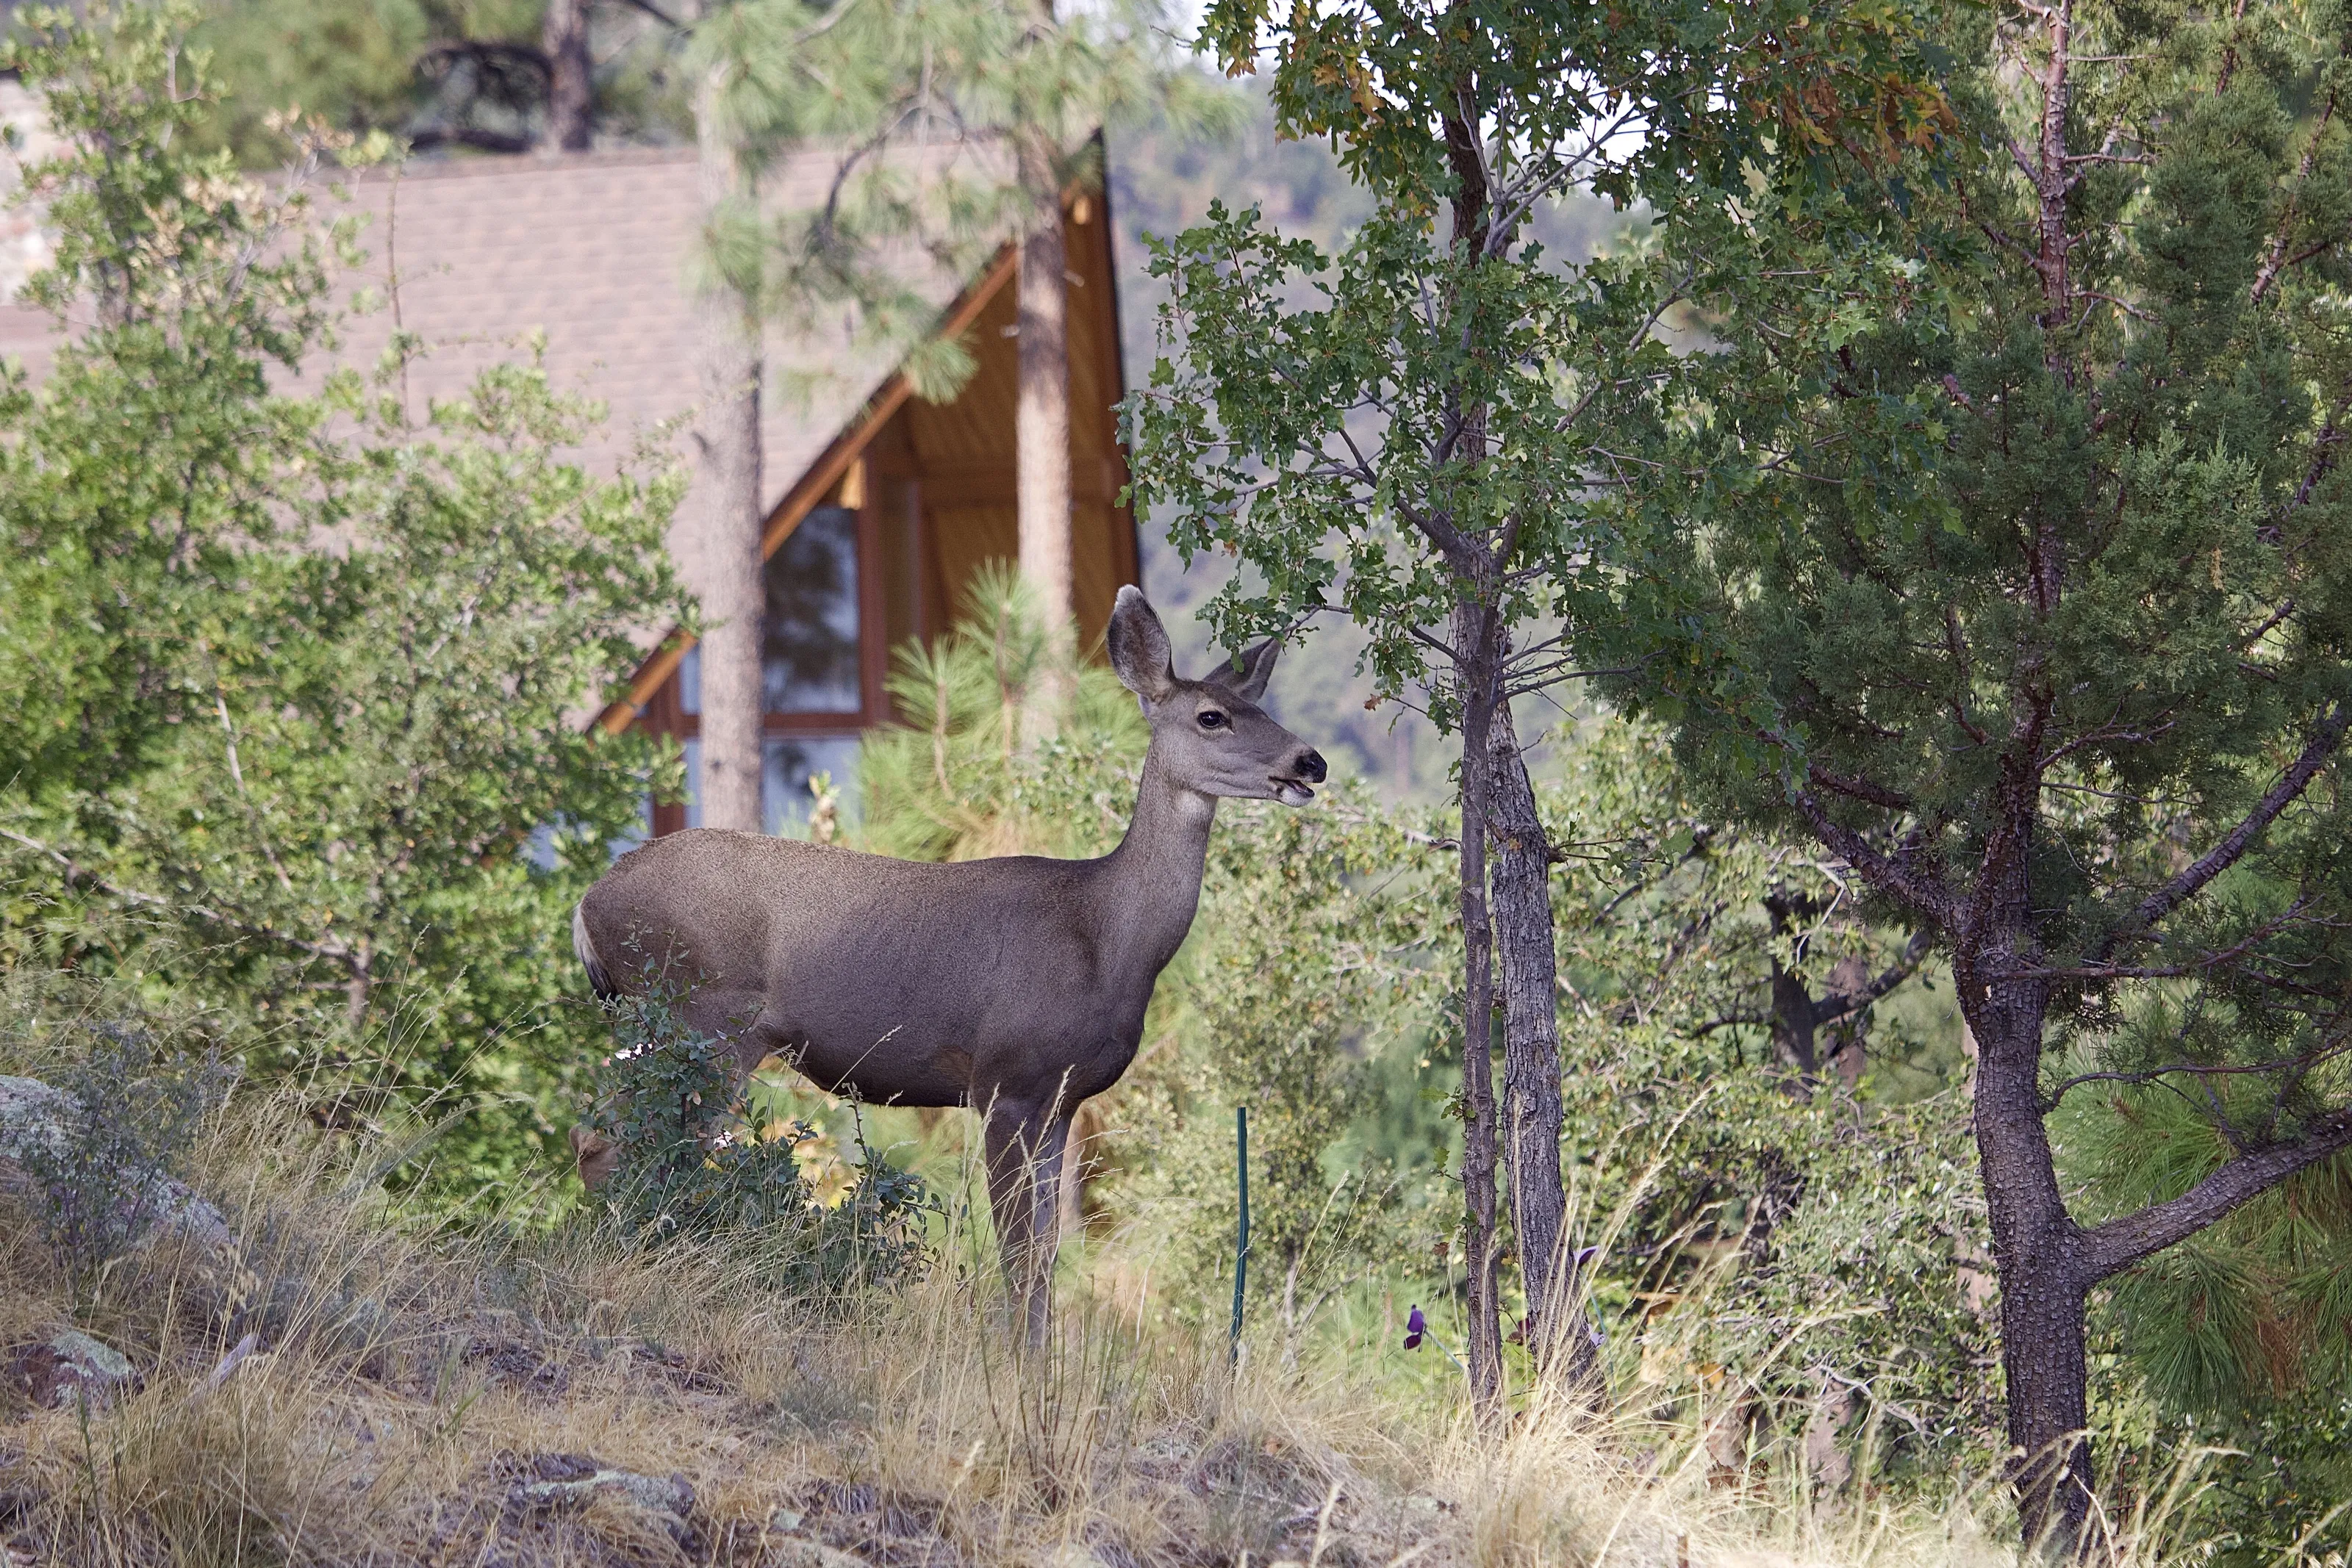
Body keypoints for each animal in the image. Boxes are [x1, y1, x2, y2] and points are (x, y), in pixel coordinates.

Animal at [569, 586, 1327, 1338]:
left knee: (606, 1139)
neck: (1106, 938)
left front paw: (1040, 1359)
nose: (1310, 762)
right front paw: (1018, 1362)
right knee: (626, 1147)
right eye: (1212, 716)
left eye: (1264, 708)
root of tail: (587, 902)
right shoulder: (1005, 1077)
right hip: (700, 1019)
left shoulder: (1062, 1098)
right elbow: (1018, 1252)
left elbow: (1046, 1256)